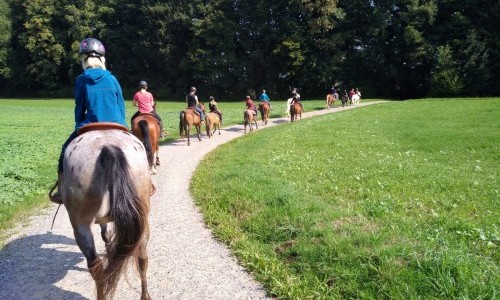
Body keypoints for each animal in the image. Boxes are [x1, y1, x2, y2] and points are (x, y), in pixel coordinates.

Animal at [59, 125, 151, 300]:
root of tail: (108, 147)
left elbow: (106, 235)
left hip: (80, 224)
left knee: (96, 268)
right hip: (142, 216)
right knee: (142, 258)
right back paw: (145, 295)